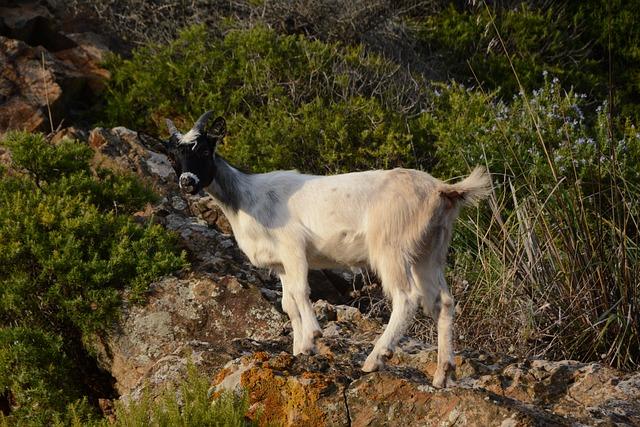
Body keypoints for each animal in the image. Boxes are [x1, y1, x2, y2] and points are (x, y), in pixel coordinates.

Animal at [164, 109, 490, 388]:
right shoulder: (281, 265)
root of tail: (441, 189)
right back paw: (442, 374)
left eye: (204, 150)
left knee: (406, 297)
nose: (187, 182)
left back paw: (375, 359)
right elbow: (288, 304)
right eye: (175, 155)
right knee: (443, 302)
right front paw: (298, 349)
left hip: (391, 248)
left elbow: (300, 293)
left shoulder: (294, 248)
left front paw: (311, 337)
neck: (247, 198)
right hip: (429, 251)